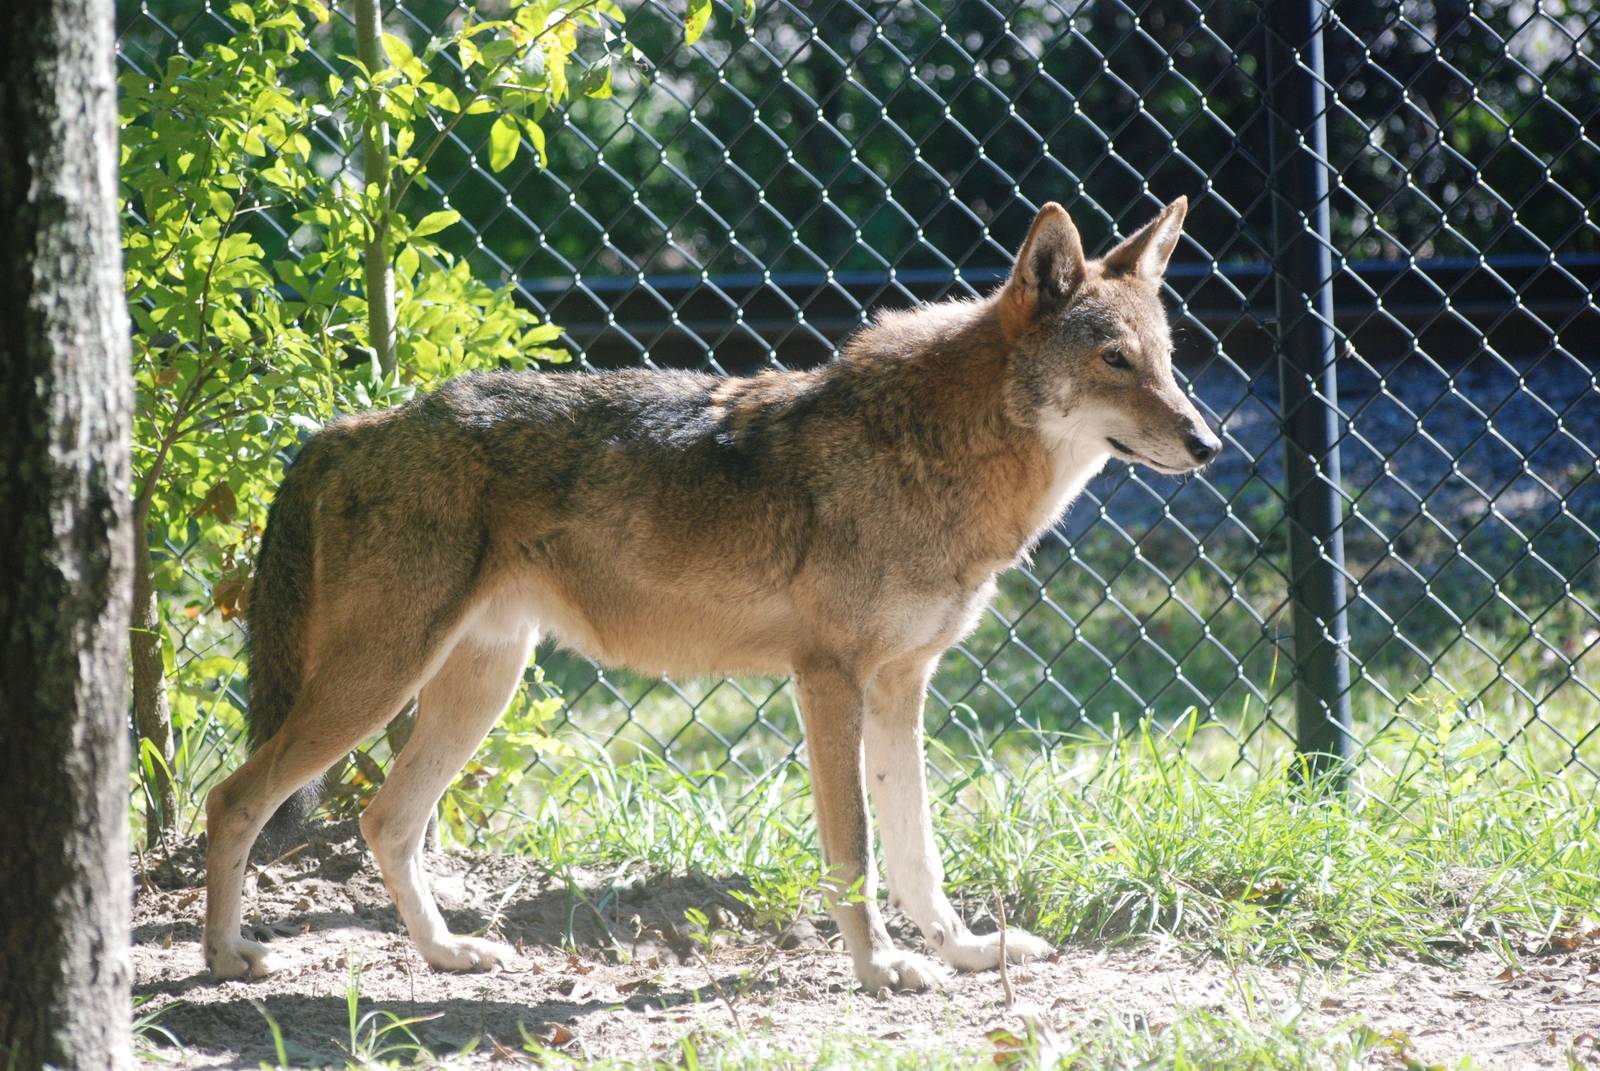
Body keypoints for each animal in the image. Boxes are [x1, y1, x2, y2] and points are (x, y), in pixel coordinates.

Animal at [203, 196, 1219, 992]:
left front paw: (963, 952)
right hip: (378, 683)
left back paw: (447, 955)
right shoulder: (829, 679)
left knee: (386, 820)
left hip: (473, 687)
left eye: (1168, 359)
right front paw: (881, 969)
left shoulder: (902, 688)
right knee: (235, 797)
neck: (936, 454)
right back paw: (226, 959)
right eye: (1114, 360)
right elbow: (854, 847)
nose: (1208, 443)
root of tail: (355, 423)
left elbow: (917, 850)